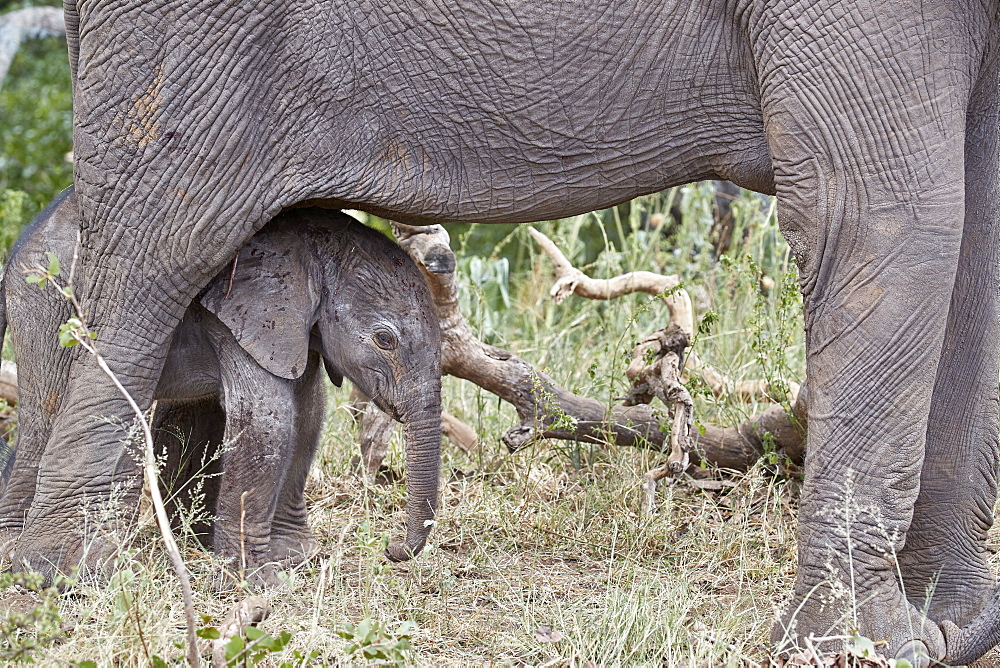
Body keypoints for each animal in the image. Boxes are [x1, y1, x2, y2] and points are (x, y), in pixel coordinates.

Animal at [0, 187, 442, 580]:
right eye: (384, 340)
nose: (392, 549)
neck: (318, 246)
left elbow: (307, 411)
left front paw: (294, 559)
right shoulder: (245, 313)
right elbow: (268, 419)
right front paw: (255, 581)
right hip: (45, 303)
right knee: (45, 413)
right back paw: (18, 554)